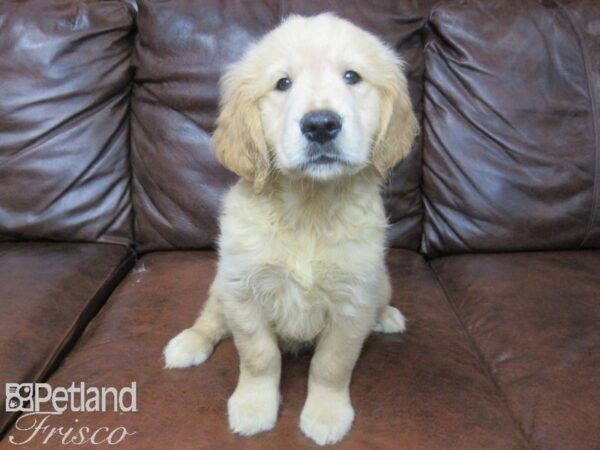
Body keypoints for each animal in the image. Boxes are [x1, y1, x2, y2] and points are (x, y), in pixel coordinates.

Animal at [163, 12, 418, 444]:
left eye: (352, 76)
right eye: (283, 83)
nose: (321, 125)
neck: (308, 210)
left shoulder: (353, 301)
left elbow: (332, 364)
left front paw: (326, 414)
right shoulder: (244, 292)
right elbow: (259, 356)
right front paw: (254, 406)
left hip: (380, 282)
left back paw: (385, 317)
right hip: (222, 285)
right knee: (211, 318)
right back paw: (189, 342)